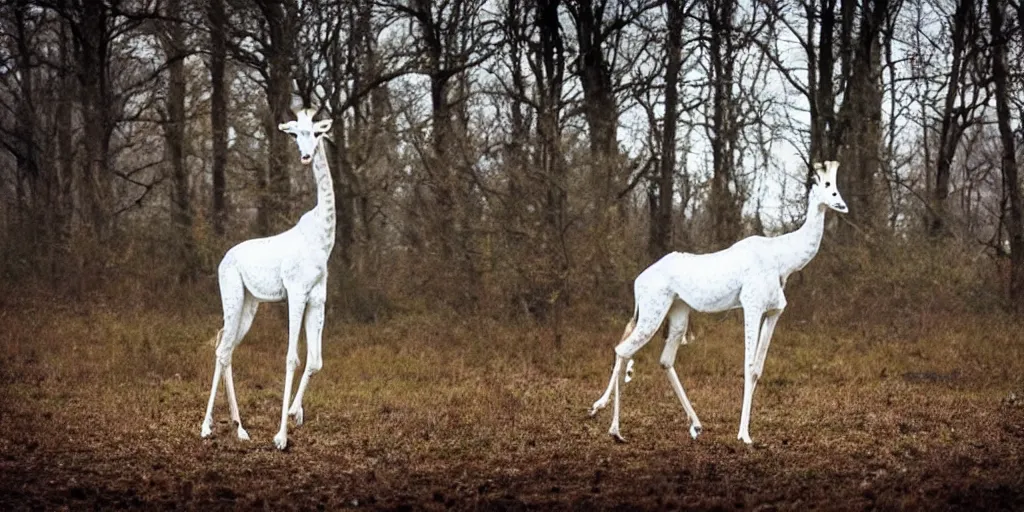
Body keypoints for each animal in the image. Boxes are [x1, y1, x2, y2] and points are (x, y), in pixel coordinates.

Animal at [201, 105, 337, 450]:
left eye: (315, 133)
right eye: (294, 134)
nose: (305, 156)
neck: (323, 238)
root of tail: (223, 260)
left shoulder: (318, 297)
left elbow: (316, 360)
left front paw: (294, 413)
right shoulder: (296, 292)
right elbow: (292, 358)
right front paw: (280, 436)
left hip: (250, 303)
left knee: (225, 347)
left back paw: (239, 428)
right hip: (233, 295)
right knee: (222, 348)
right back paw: (207, 427)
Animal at [593, 162, 847, 444]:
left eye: (837, 186)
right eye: (827, 185)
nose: (842, 204)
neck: (784, 260)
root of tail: (638, 282)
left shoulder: (774, 311)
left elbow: (758, 369)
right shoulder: (752, 305)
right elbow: (748, 365)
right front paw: (744, 435)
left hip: (678, 311)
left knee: (663, 359)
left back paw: (694, 424)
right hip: (652, 311)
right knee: (623, 350)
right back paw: (615, 429)